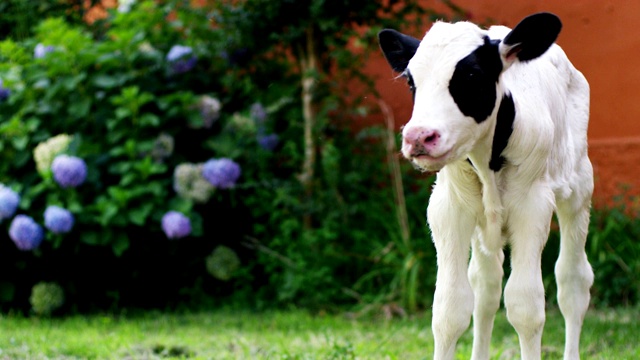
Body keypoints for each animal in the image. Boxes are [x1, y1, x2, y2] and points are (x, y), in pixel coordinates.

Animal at [378, 11, 592, 360]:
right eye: (411, 81)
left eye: (472, 75)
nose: (418, 137)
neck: (486, 160)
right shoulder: (449, 210)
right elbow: (450, 310)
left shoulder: (532, 207)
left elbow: (525, 307)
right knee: (485, 289)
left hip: (579, 190)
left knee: (572, 283)